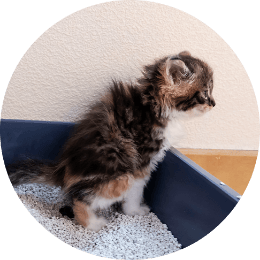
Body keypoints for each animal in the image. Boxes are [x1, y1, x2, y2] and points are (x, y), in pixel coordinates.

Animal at [7, 51, 215, 232]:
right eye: (204, 93)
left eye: (211, 91)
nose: (214, 104)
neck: (154, 106)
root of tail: (62, 171)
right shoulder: (141, 164)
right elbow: (136, 190)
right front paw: (134, 211)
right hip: (119, 178)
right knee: (80, 197)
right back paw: (91, 223)